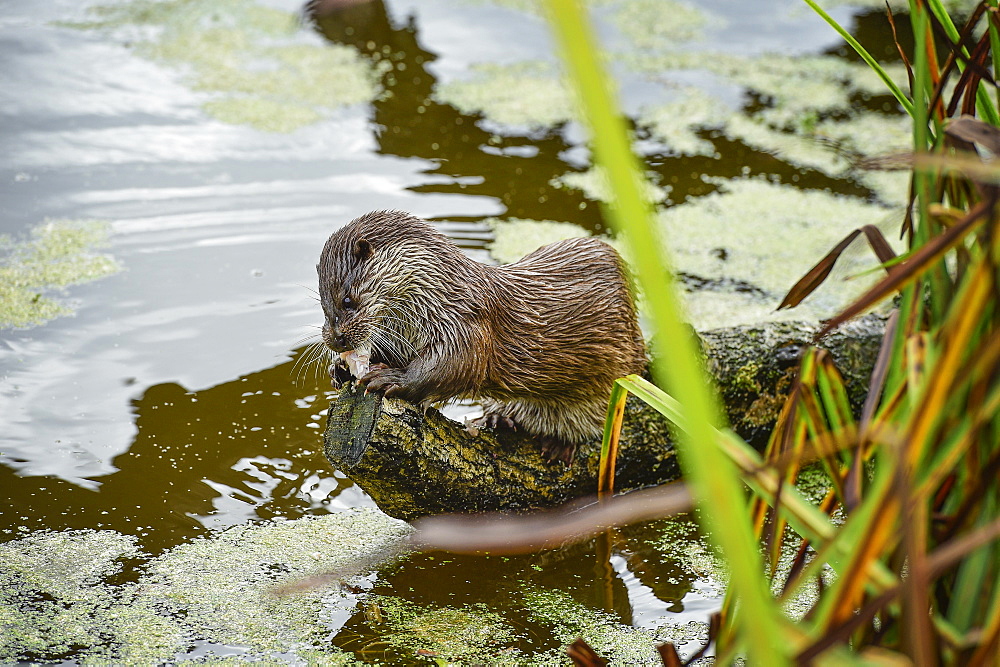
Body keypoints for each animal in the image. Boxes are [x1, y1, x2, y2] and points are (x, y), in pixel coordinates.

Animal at [318, 211, 648, 462]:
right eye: (322, 303)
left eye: (347, 300)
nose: (336, 340)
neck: (439, 292)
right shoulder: (401, 335)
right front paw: (340, 368)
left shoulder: (464, 323)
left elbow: (456, 365)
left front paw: (392, 379)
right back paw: (498, 419)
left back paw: (558, 444)